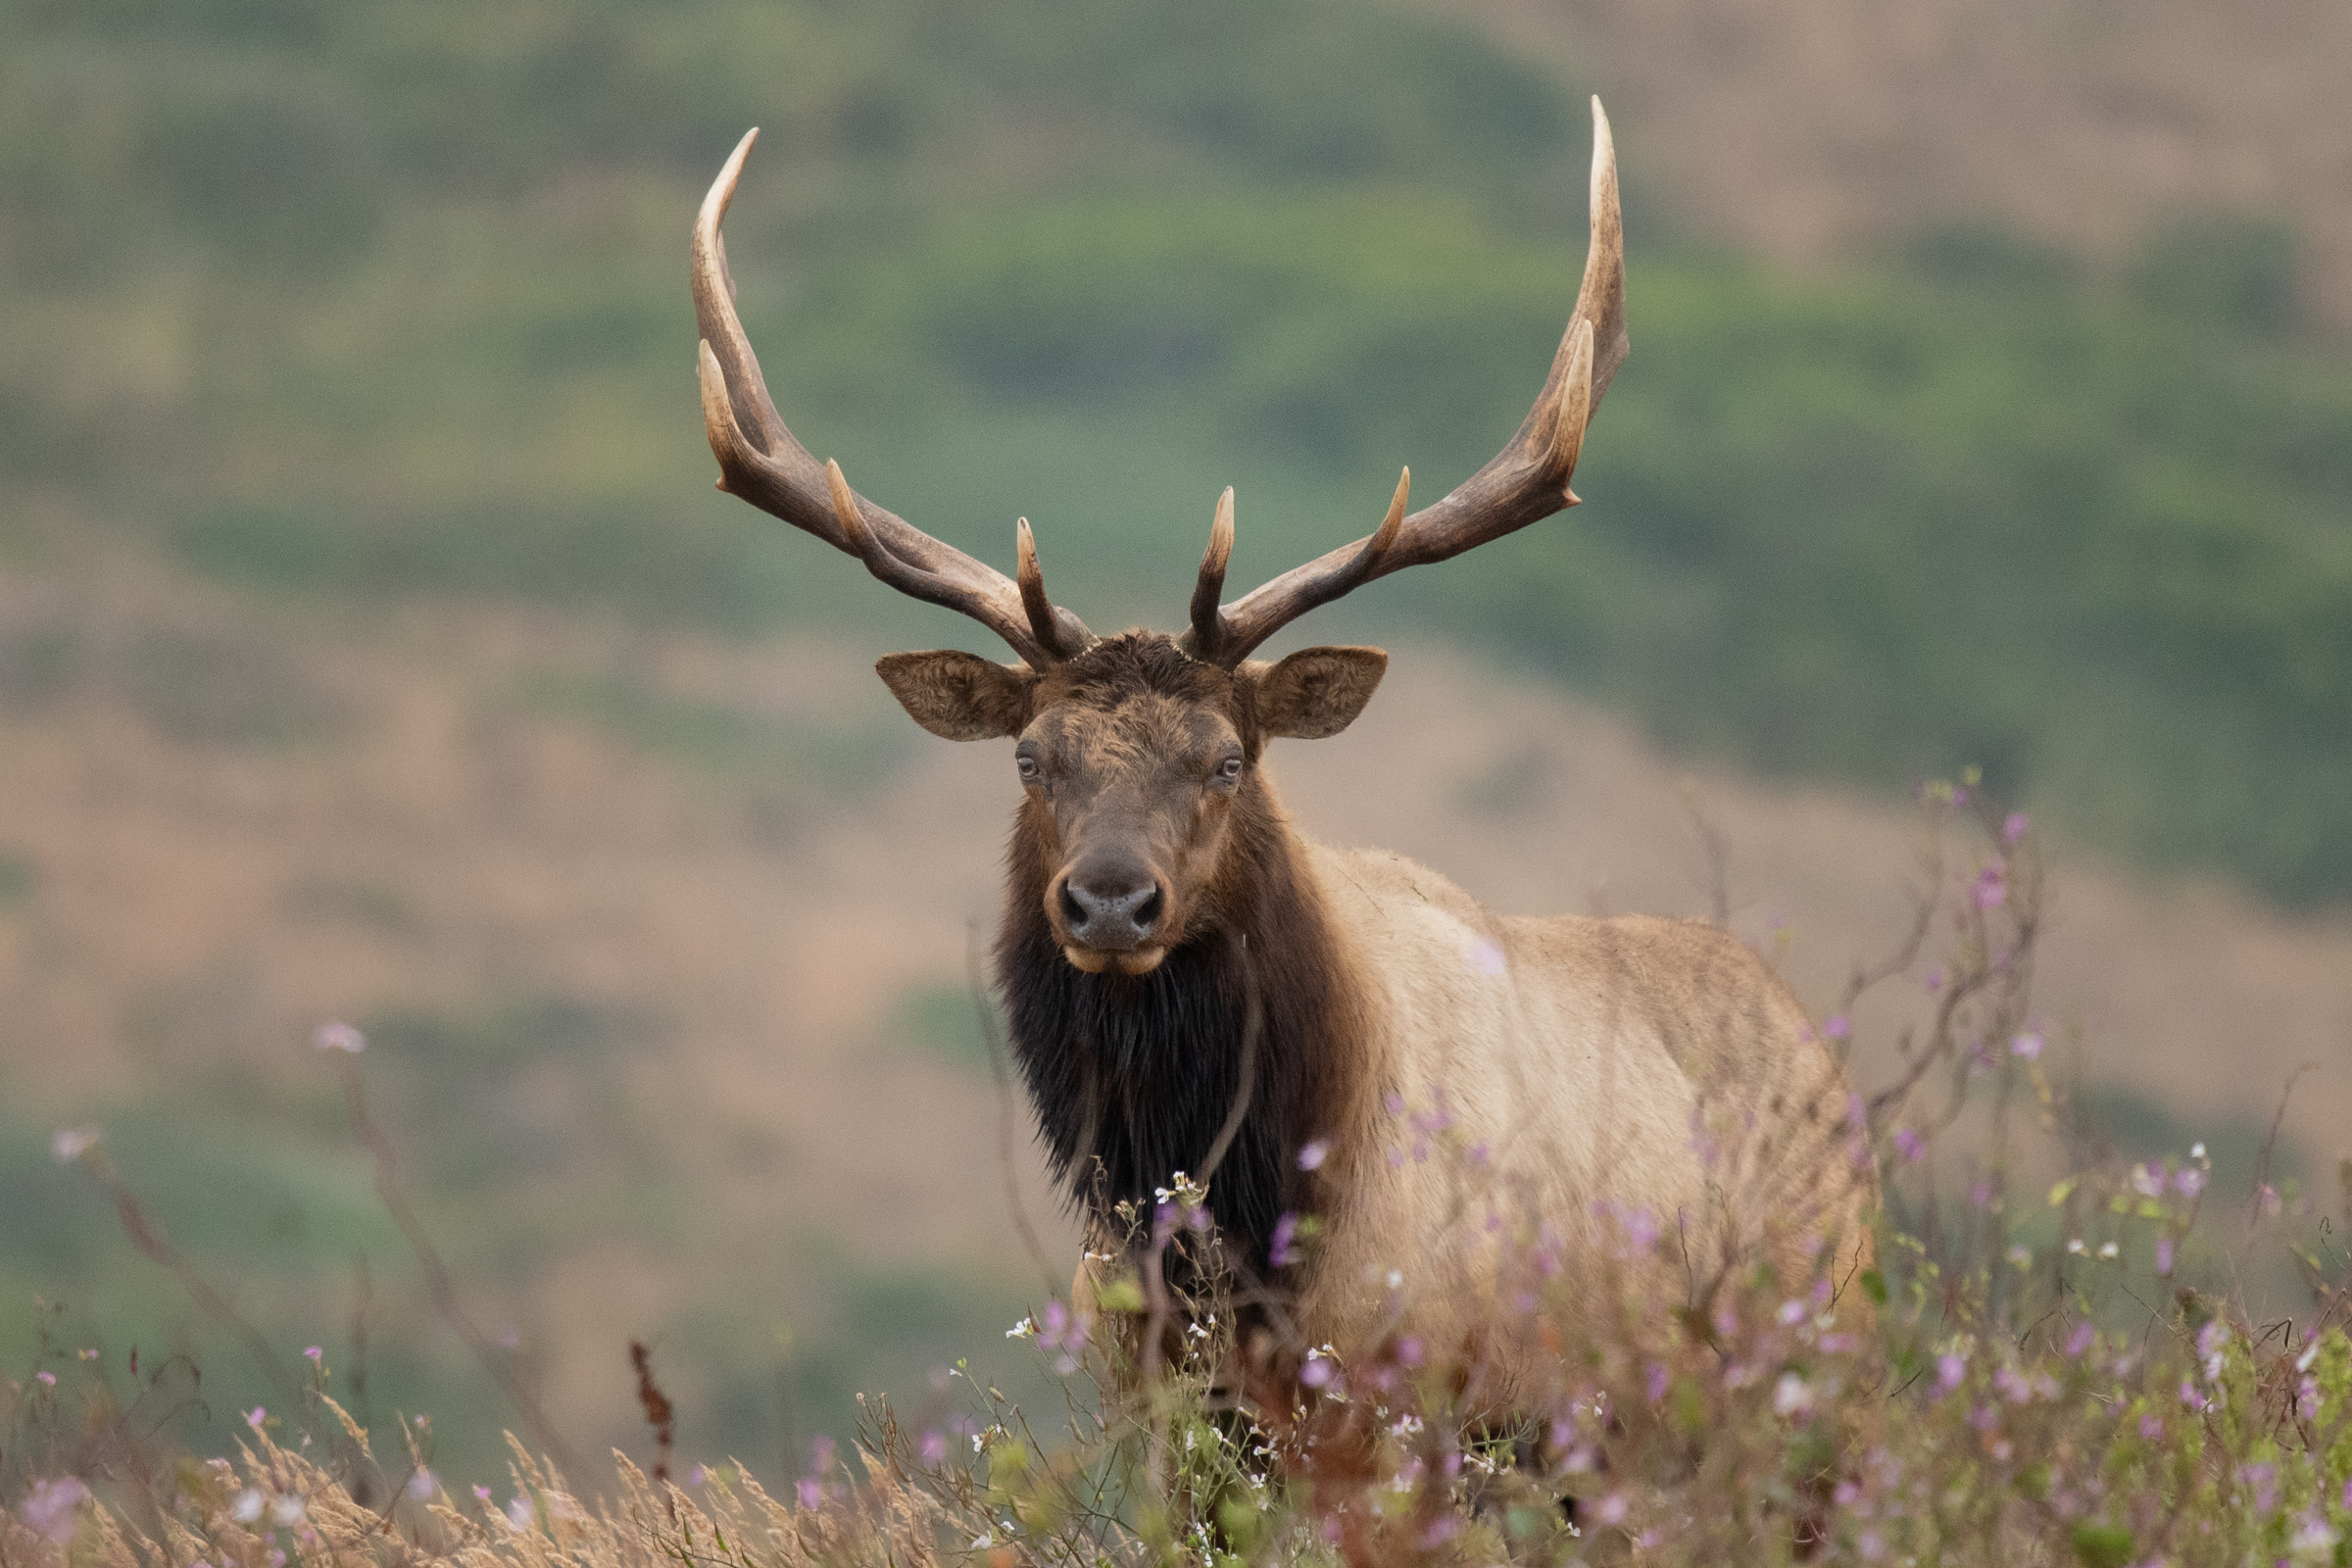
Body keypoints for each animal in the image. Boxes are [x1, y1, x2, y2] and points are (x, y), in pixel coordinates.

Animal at [690, 100, 1874, 1414]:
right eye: (1032, 758)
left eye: (1226, 761)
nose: (1111, 901)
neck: (1258, 1234)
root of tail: (1823, 1058)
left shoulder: (1439, 1394)